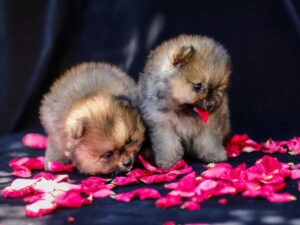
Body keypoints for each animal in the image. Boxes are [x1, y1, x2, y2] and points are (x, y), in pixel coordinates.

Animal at [139, 34, 232, 169]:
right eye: (198, 86)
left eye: (218, 88)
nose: (210, 105)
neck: (183, 110)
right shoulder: (163, 124)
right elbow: (168, 144)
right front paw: (169, 162)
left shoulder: (208, 125)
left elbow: (209, 141)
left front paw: (214, 155)